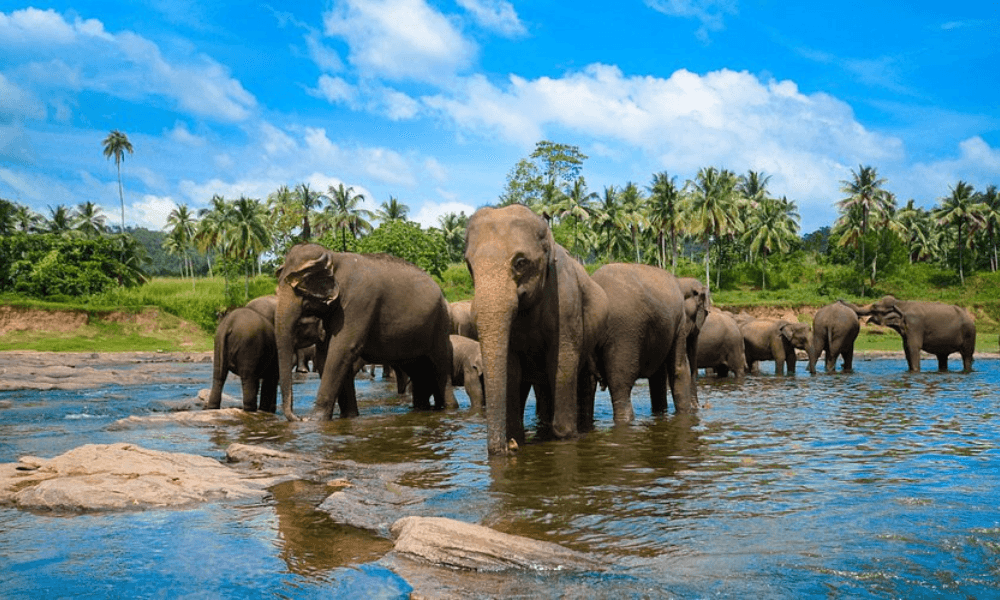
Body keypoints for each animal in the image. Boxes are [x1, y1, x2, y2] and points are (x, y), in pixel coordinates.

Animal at [274, 243, 455, 421]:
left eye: (300, 287)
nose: (298, 418)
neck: (334, 257)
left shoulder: (359, 301)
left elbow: (341, 349)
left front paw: (315, 420)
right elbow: (326, 355)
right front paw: (348, 416)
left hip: (440, 323)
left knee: (440, 368)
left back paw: (449, 408)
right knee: (418, 371)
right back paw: (421, 409)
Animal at [465, 204, 608, 455]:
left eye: (520, 262)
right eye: (468, 266)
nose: (509, 447)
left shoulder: (566, 301)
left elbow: (563, 361)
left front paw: (565, 436)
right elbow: (511, 369)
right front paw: (516, 437)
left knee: (584, 378)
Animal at [841, 296, 975, 372]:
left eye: (874, 307)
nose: (840, 299)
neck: (901, 304)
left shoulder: (915, 325)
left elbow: (913, 347)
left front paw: (915, 371)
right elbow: (906, 349)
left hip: (969, 334)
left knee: (967, 356)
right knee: (942, 357)